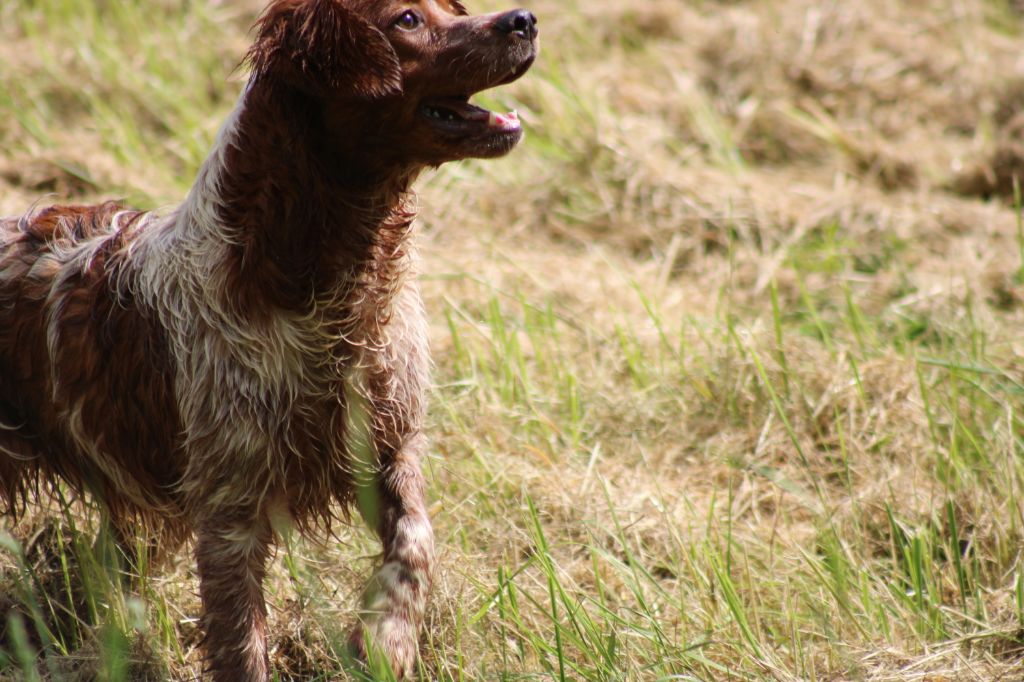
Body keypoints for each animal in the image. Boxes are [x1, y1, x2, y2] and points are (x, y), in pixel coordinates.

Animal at [0, 1, 540, 675]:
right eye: (408, 19)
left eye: (450, 7)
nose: (524, 19)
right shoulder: (231, 510)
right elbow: (241, 643)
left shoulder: (387, 446)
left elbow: (416, 544)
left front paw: (384, 638)